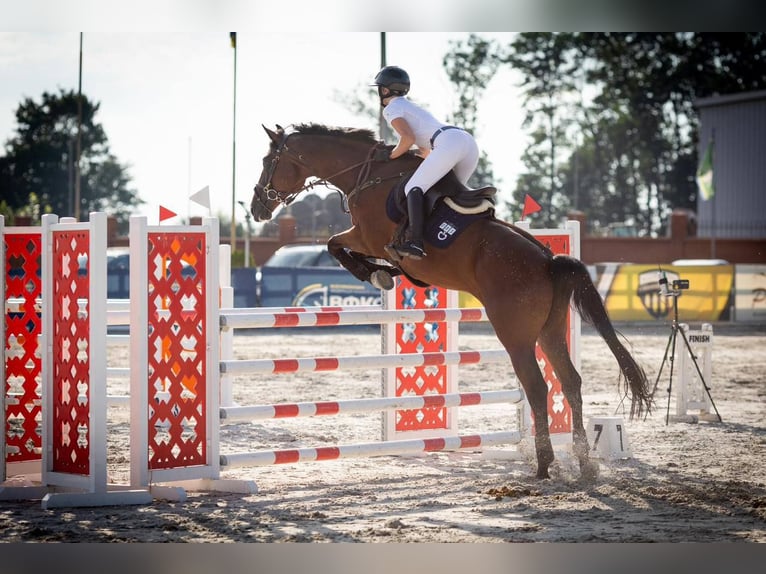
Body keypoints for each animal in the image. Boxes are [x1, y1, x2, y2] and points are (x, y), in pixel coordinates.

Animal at [252, 122, 656, 482]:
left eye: (267, 160)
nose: (257, 207)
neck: (366, 175)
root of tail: (549, 260)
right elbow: (340, 248)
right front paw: (388, 273)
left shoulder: (365, 236)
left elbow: (334, 245)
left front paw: (377, 273)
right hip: (551, 330)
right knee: (570, 383)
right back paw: (584, 464)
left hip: (515, 335)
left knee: (538, 387)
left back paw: (543, 465)